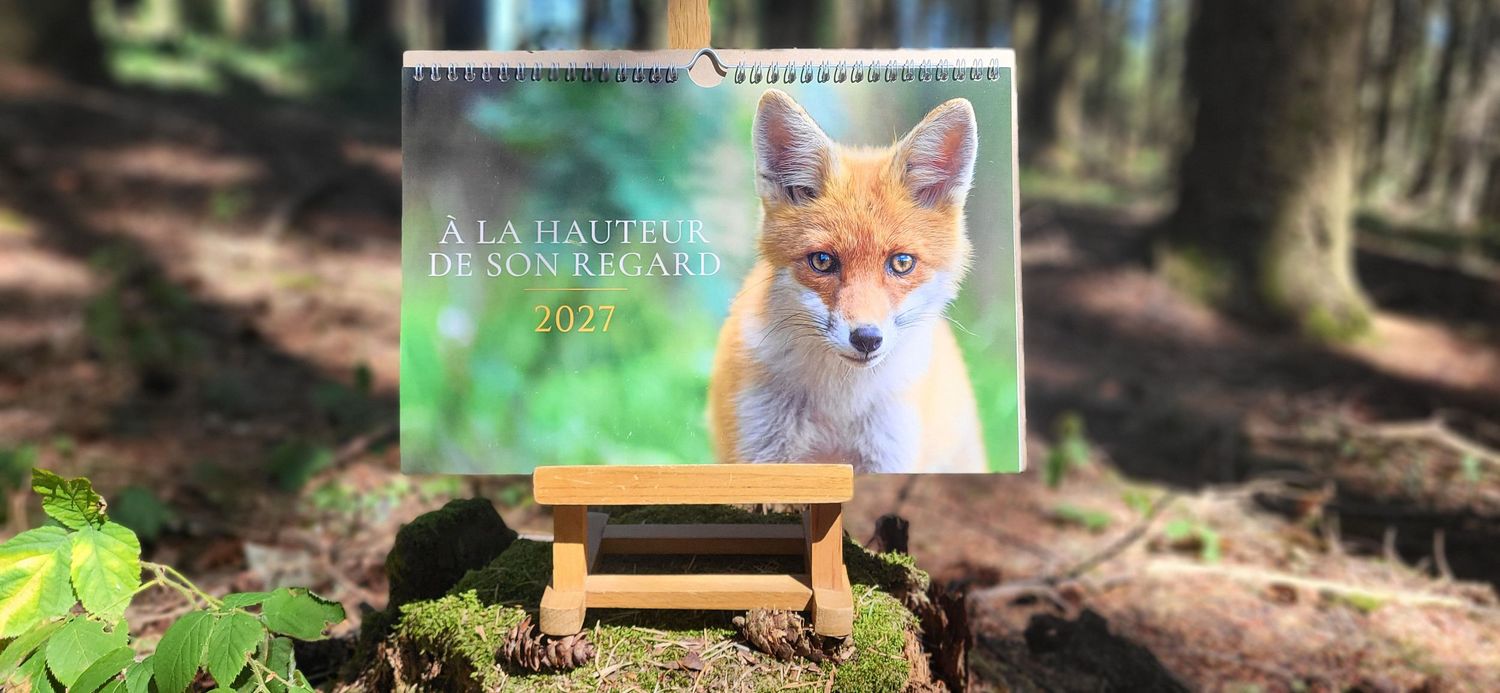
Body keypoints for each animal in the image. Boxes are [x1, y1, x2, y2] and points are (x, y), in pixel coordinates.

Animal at [707, 89, 988, 474]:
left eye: (901, 263)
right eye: (823, 261)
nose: (867, 338)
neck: (838, 408)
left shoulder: (888, 459)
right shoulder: (761, 452)